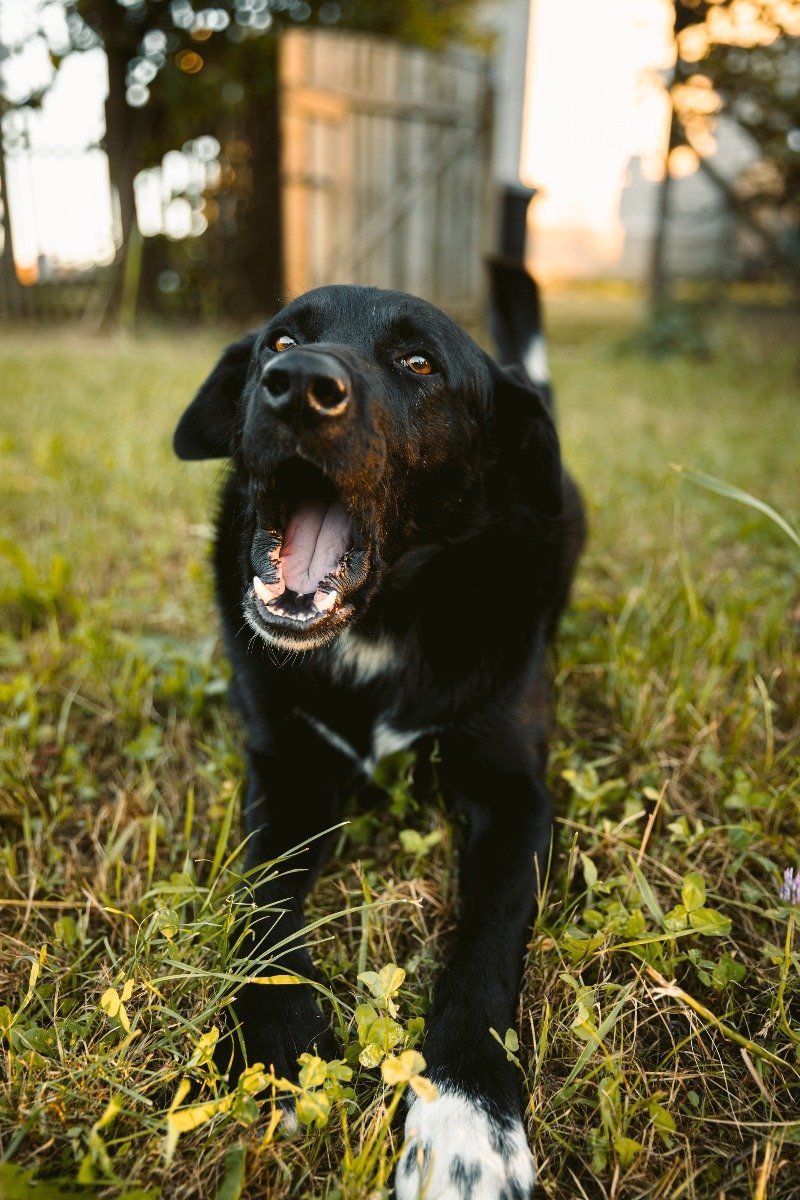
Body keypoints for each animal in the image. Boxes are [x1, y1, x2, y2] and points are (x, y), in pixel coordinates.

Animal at [175, 265, 585, 1200]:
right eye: (280, 341)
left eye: (418, 362)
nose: (294, 385)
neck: (380, 626)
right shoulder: (285, 772)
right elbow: (262, 899)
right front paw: (283, 1049)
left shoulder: (516, 796)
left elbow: (484, 947)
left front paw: (467, 1124)